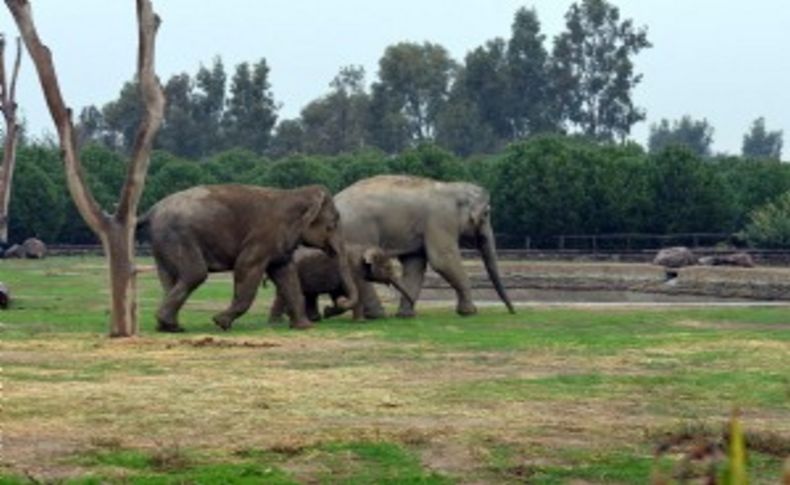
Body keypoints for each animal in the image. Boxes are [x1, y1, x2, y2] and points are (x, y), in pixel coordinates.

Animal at [145, 183, 358, 330]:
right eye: (333, 224)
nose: (334, 305)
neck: (295, 193)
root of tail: (153, 209)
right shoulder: (263, 237)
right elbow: (246, 267)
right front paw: (221, 322)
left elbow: (286, 275)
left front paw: (304, 327)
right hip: (178, 236)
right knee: (195, 273)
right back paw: (171, 325)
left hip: (164, 244)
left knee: (170, 278)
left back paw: (168, 327)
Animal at [270, 246, 414, 322]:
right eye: (388, 268)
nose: (412, 312)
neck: (364, 248)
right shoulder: (354, 270)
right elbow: (357, 292)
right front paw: (360, 321)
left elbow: (337, 293)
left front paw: (328, 311)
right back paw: (277, 323)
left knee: (310, 295)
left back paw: (313, 319)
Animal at [332, 175, 512, 318]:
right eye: (486, 214)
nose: (512, 311)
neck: (452, 187)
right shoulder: (441, 219)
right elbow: (442, 260)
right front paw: (469, 312)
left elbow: (415, 264)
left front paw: (406, 315)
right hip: (356, 230)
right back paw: (377, 315)